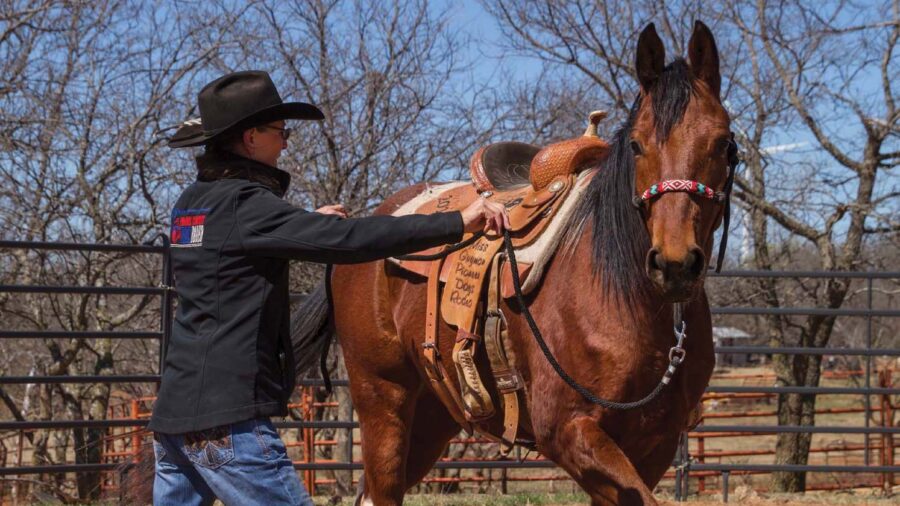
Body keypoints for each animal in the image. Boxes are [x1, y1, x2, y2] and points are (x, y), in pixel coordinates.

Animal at [309, 21, 734, 505]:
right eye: (638, 145)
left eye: (723, 143)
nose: (675, 264)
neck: (629, 301)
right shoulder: (569, 430)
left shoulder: (654, 445)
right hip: (383, 400)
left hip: (432, 416)